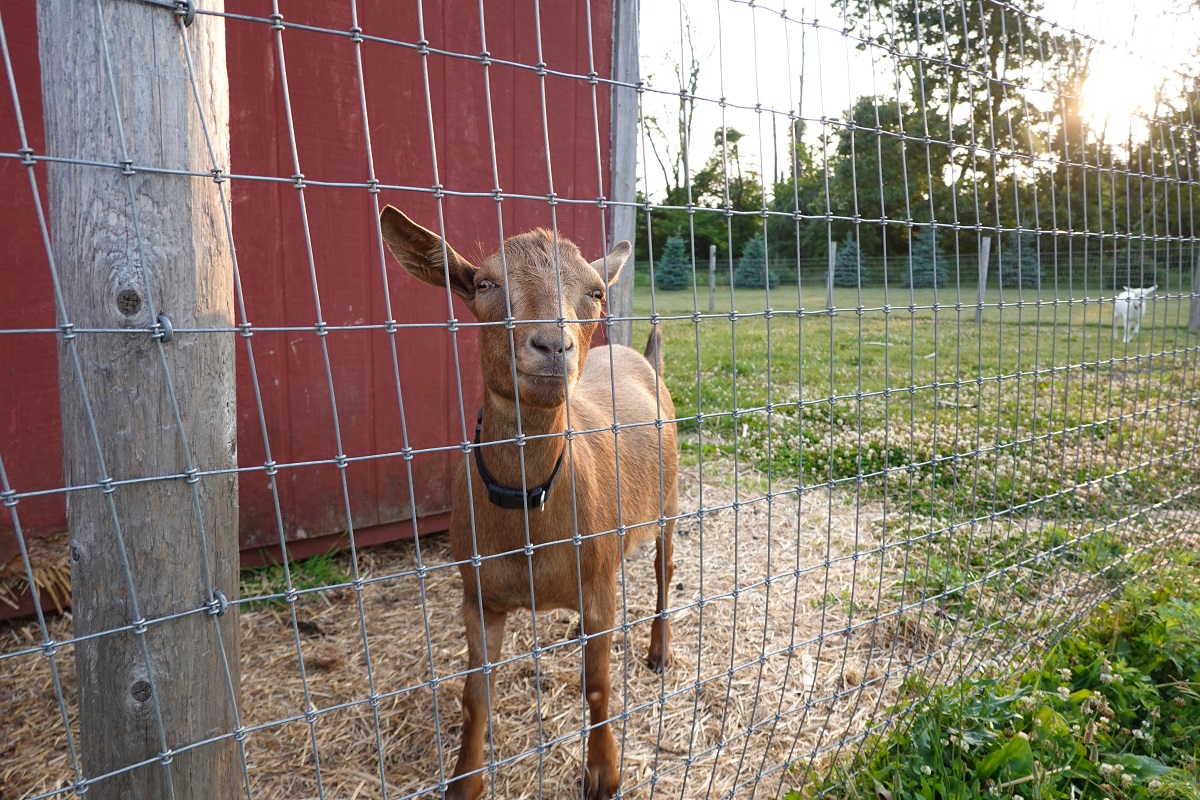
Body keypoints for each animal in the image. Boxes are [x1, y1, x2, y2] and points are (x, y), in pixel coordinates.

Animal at [381, 208, 681, 800]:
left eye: (595, 292)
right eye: (484, 284)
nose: (551, 346)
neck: (528, 511)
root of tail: (641, 355)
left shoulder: (597, 583)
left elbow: (598, 684)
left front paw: (603, 773)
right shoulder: (479, 596)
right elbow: (474, 697)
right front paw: (465, 783)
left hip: (671, 502)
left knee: (664, 572)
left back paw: (658, 651)